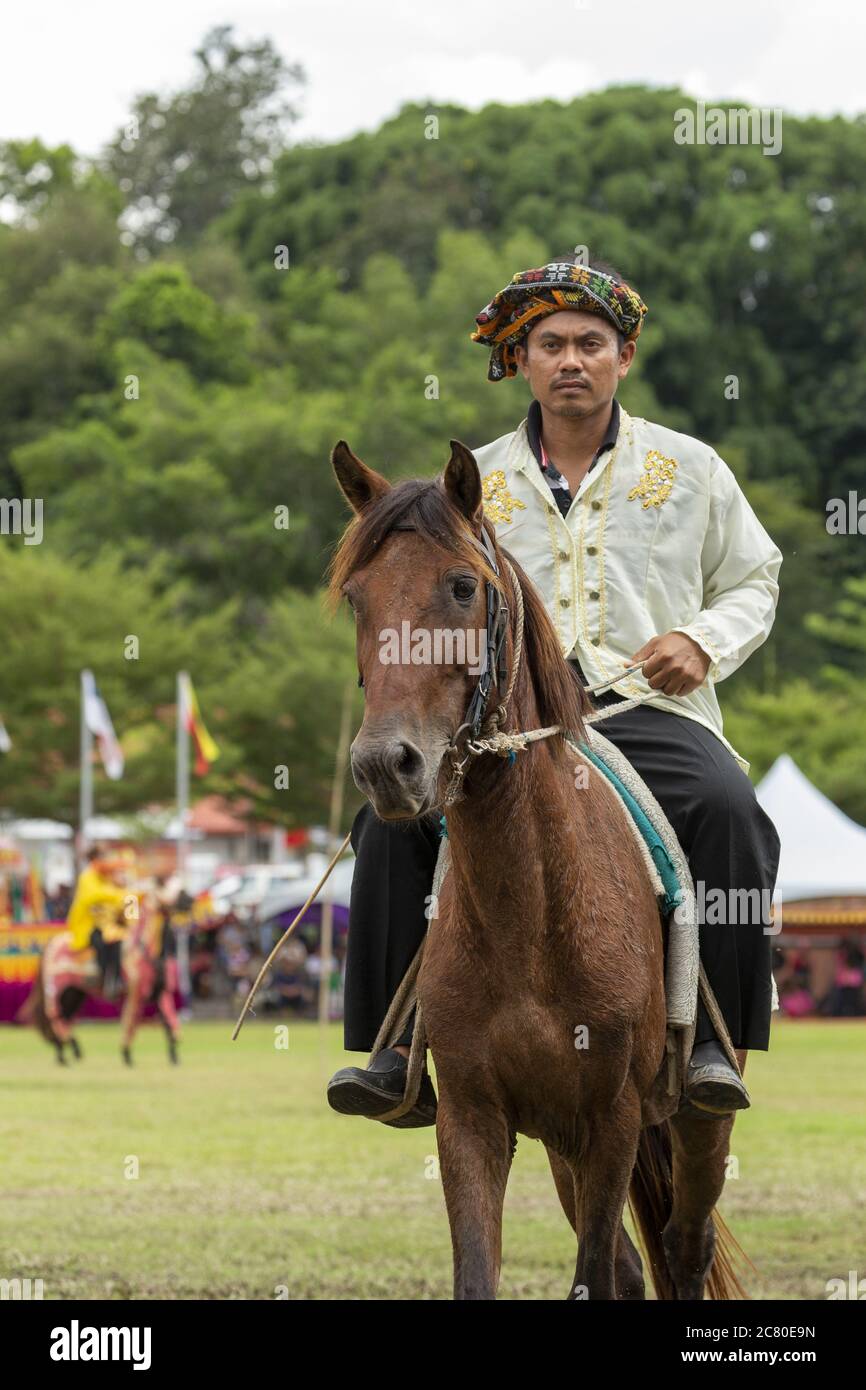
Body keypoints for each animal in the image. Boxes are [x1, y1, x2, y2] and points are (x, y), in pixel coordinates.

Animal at [328, 436, 750, 1301]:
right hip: (561, 1144)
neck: (530, 911)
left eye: (462, 587)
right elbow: (486, 1273)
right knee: (631, 1262)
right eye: (357, 597)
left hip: (689, 1126)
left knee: (682, 1246)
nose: (388, 765)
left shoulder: (612, 1121)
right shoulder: (473, 1120)